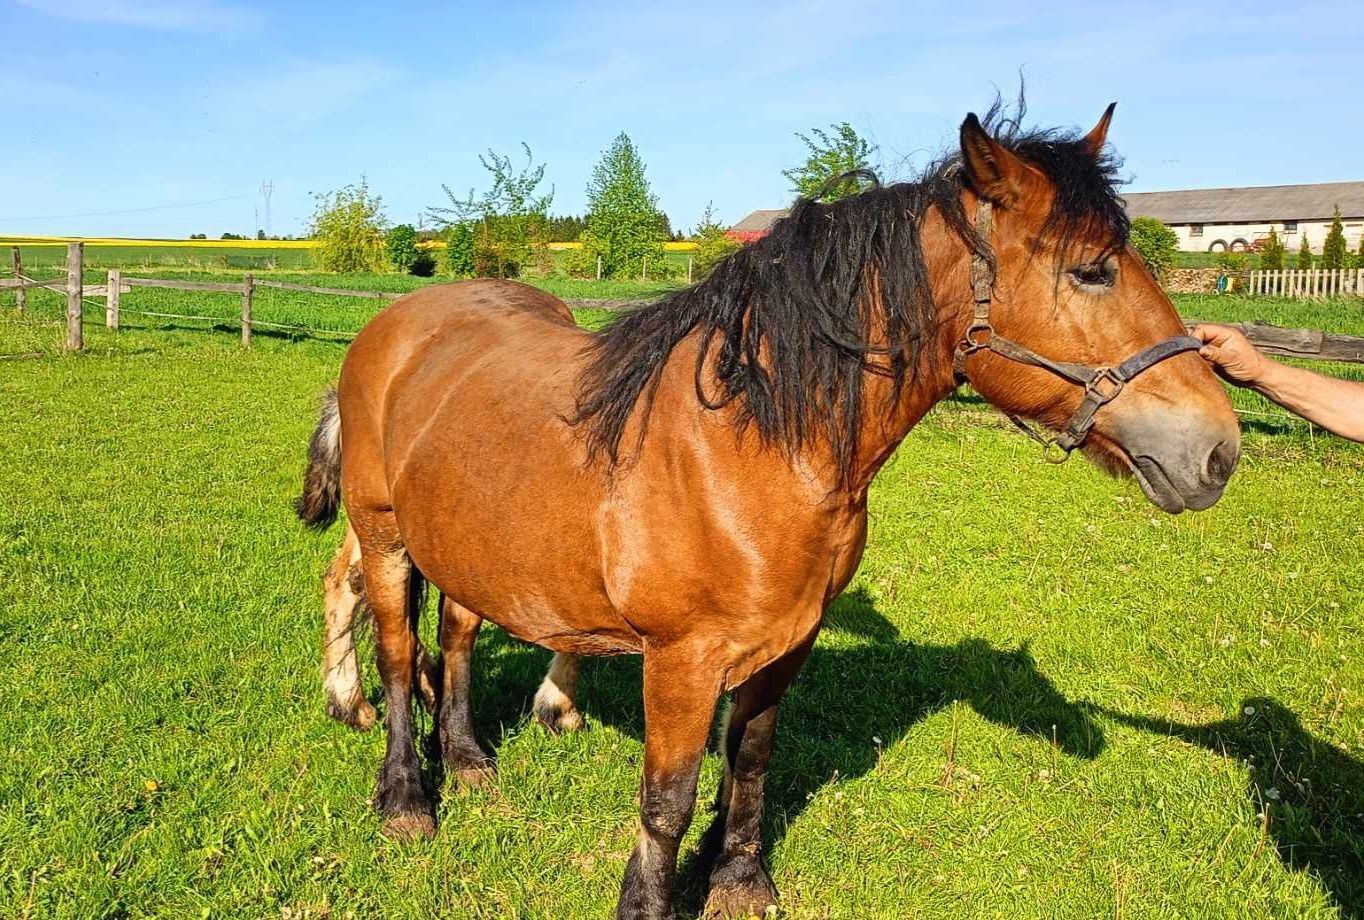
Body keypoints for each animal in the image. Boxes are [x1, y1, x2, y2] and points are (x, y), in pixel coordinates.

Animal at [301, 103, 1249, 911]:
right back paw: (405, 796)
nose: (1217, 451)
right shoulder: (681, 663)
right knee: (396, 656)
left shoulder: (788, 643)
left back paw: (465, 759)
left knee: (456, 634)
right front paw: (648, 901)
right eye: (1091, 271)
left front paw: (739, 882)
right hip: (385, 538)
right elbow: (667, 801)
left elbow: (750, 760)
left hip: (469, 543)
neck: (755, 448)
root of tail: (394, 325)